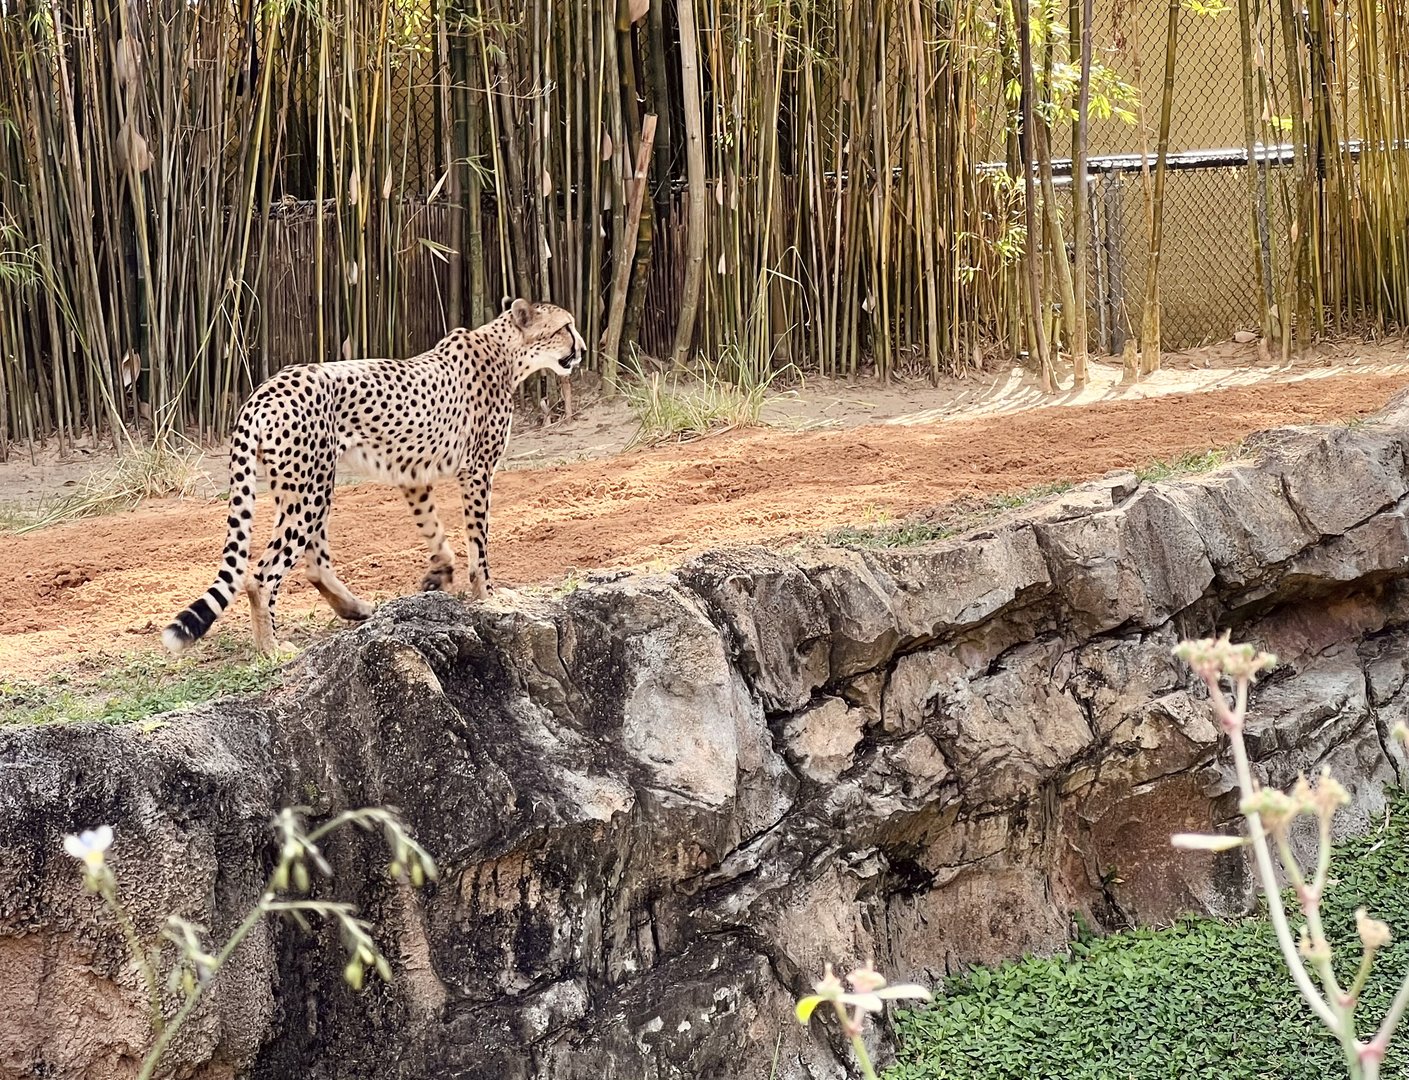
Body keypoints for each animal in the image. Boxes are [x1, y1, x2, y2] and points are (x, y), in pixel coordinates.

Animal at [163, 298, 585, 657]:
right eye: (566, 326)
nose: (581, 349)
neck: (505, 351)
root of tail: (265, 390)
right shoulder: (477, 470)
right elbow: (478, 541)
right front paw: (488, 595)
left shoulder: (413, 475)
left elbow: (434, 529)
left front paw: (440, 574)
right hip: (310, 487)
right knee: (262, 575)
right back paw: (272, 648)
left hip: (305, 486)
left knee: (314, 563)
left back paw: (357, 610)